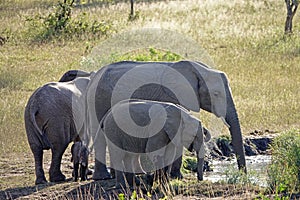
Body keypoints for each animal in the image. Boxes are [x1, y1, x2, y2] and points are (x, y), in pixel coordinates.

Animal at [84, 59, 246, 180]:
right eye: (216, 94)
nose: (242, 174)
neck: (199, 70)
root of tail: (94, 77)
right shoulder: (172, 94)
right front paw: (177, 177)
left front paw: (175, 176)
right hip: (97, 99)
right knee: (100, 137)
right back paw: (103, 177)